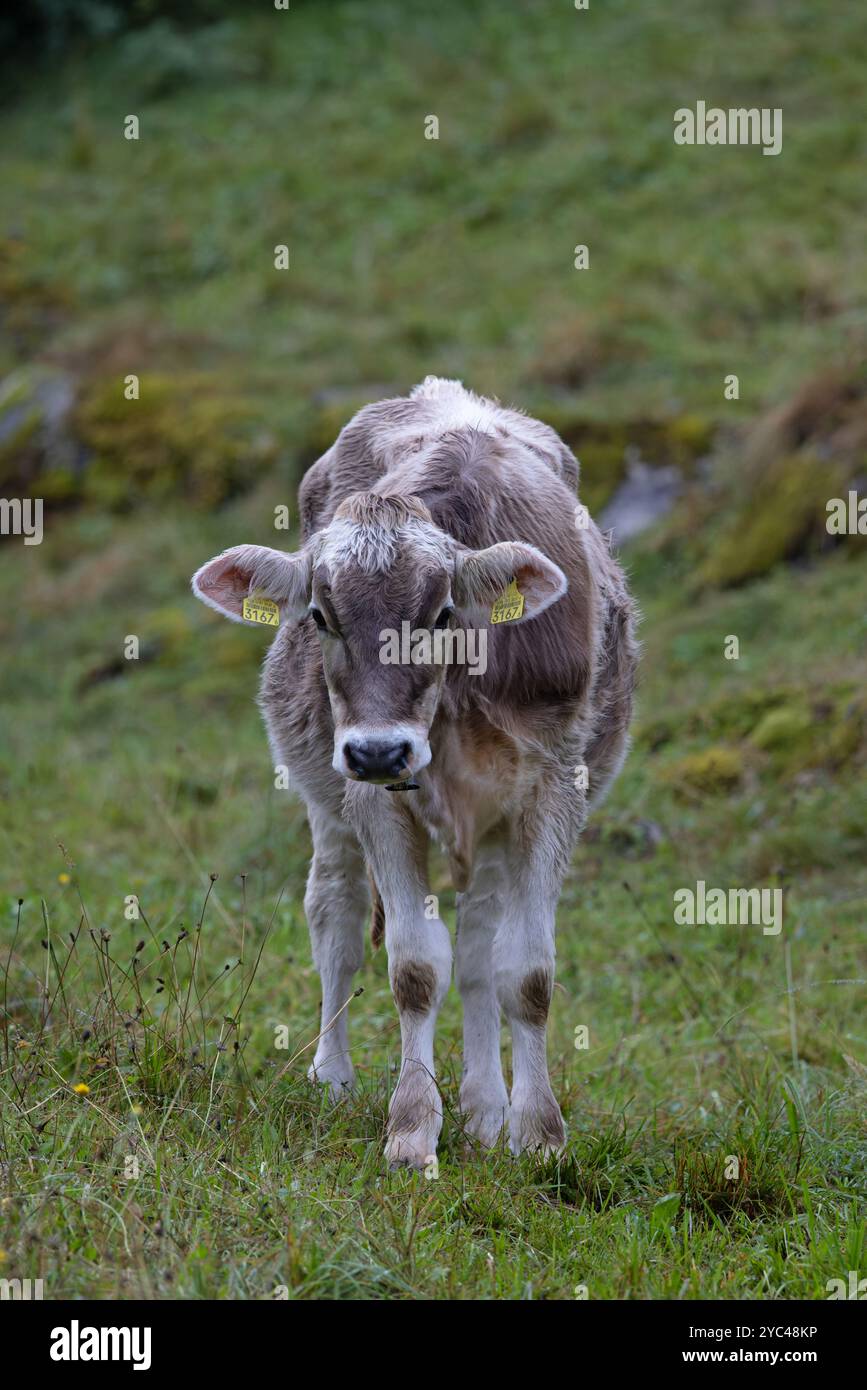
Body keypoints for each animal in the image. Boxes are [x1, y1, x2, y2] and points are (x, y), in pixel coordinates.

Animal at [192, 377, 638, 1169]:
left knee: (480, 948)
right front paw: (410, 1129)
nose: (379, 752)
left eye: (440, 613)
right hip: (327, 800)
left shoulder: (555, 788)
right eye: (320, 615)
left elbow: (524, 970)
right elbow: (415, 967)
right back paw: (333, 1080)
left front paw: (536, 1133)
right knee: (335, 916)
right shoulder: (373, 800)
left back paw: (486, 1109)